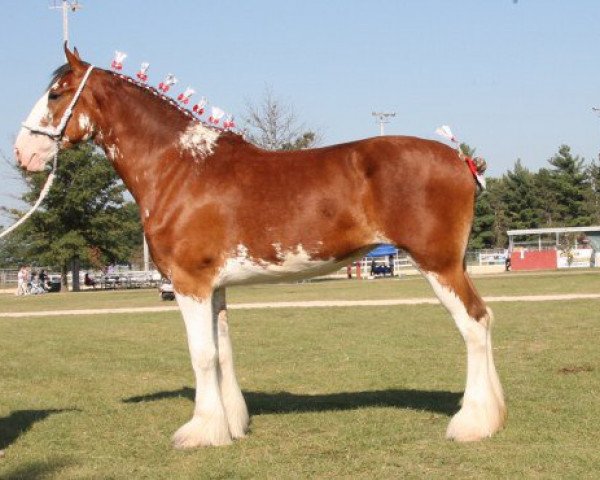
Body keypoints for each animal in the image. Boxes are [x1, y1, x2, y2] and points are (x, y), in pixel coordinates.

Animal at [12, 47, 506, 448]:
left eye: (55, 94)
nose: (21, 154)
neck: (180, 167)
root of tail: (461, 160)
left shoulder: (190, 283)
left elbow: (202, 355)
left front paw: (199, 432)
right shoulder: (215, 288)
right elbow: (223, 351)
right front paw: (230, 423)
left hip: (438, 264)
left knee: (473, 324)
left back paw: (471, 423)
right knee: (484, 320)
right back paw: (492, 416)